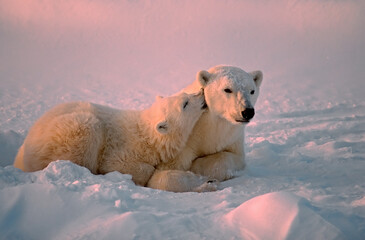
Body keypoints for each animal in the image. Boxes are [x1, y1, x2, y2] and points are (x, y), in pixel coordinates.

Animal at [14, 90, 208, 188]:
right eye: (185, 104)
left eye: (186, 93)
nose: (201, 92)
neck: (148, 136)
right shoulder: (124, 148)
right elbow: (121, 165)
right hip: (71, 130)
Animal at [146, 64, 264, 192]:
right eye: (227, 89)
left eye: (252, 91)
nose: (247, 111)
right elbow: (162, 175)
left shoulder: (232, 137)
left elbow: (231, 158)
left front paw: (199, 166)